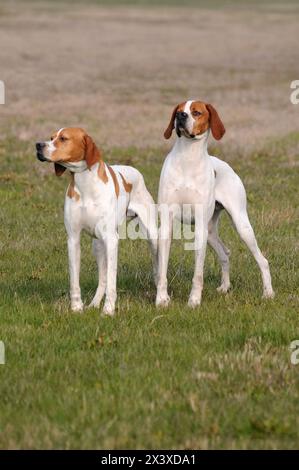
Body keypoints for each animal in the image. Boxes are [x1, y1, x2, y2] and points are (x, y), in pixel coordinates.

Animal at [36, 126, 158, 314]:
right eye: (51, 138)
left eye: (63, 138)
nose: (38, 145)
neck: (86, 184)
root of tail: (134, 170)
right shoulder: (73, 240)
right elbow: (75, 280)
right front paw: (76, 307)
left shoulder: (112, 240)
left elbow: (112, 282)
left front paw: (108, 310)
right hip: (98, 246)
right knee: (102, 279)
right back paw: (94, 303)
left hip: (152, 237)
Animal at [156, 100, 276, 306]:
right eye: (178, 111)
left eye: (196, 112)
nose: (181, 117)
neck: (188, 157)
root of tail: (226, 165)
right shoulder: (166, 224)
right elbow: (162, 271)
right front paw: (162, 300)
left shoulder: (199, 229)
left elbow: (198, 274)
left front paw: (194, 301)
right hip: (211, 232)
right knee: (225, 254)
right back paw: (225, 287)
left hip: (240, 226)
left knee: (263, 260)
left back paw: (268, 293)